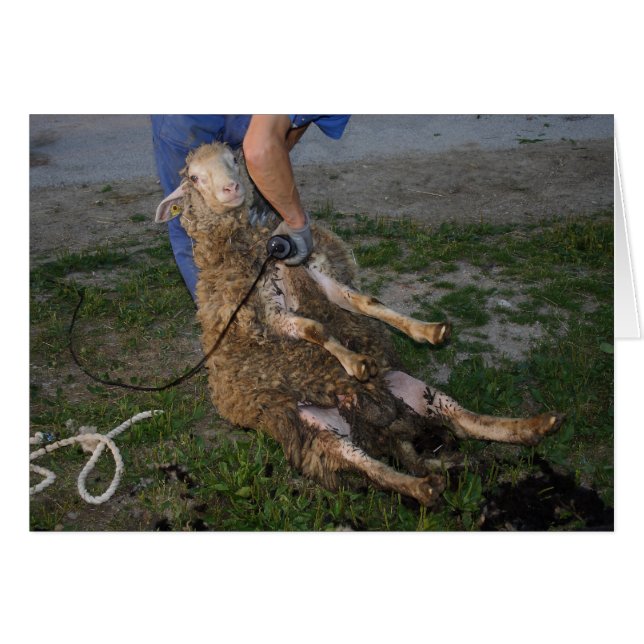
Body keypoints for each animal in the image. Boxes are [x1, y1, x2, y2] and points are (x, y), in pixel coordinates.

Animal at [155, 142, 564, 506]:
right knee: (370, 467)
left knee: (462, 420)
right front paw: (355, 362)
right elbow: (313, 328)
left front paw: (427, 330)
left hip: (411, 388)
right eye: (194, 177)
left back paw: (535, 426)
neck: (259, 249)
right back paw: (422, 487)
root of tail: (381, 428)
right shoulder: (266, 312)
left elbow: (365, 303)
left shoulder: (315, 275)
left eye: (234, 159)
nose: (232, 188)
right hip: (316, 432)